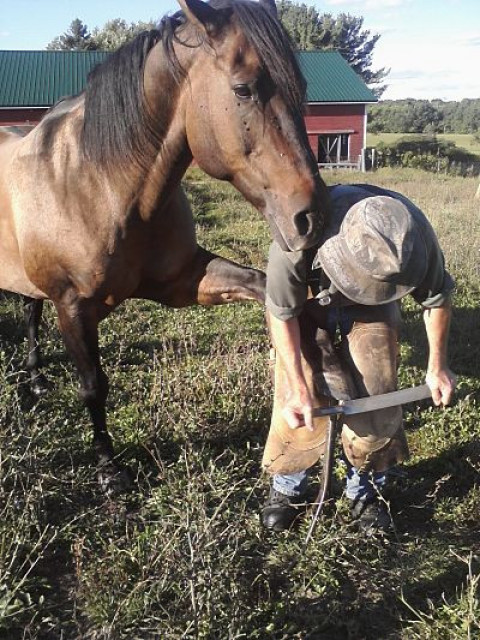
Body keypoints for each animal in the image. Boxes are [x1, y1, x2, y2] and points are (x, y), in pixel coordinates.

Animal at [0, 0, 330, 490]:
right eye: (243, 88)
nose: (312, 217)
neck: (99, 183)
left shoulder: (182, 280)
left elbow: (258, 285)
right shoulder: (73, 306)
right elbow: (93, 384)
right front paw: (108, 467)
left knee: (29, 309)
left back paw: (38, 378)